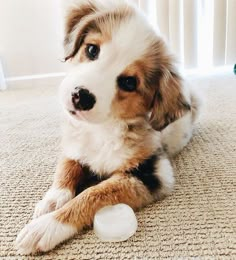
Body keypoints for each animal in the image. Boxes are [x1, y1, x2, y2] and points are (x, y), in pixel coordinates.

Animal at [16, 0, 201, 255]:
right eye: (92, 50)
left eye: (129, 83)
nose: (81, 97)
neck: (101, 130)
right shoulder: (74, 143)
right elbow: (66, 168)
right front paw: (52, 200)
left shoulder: (152, 173)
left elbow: (94, 193)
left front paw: (46, 227)